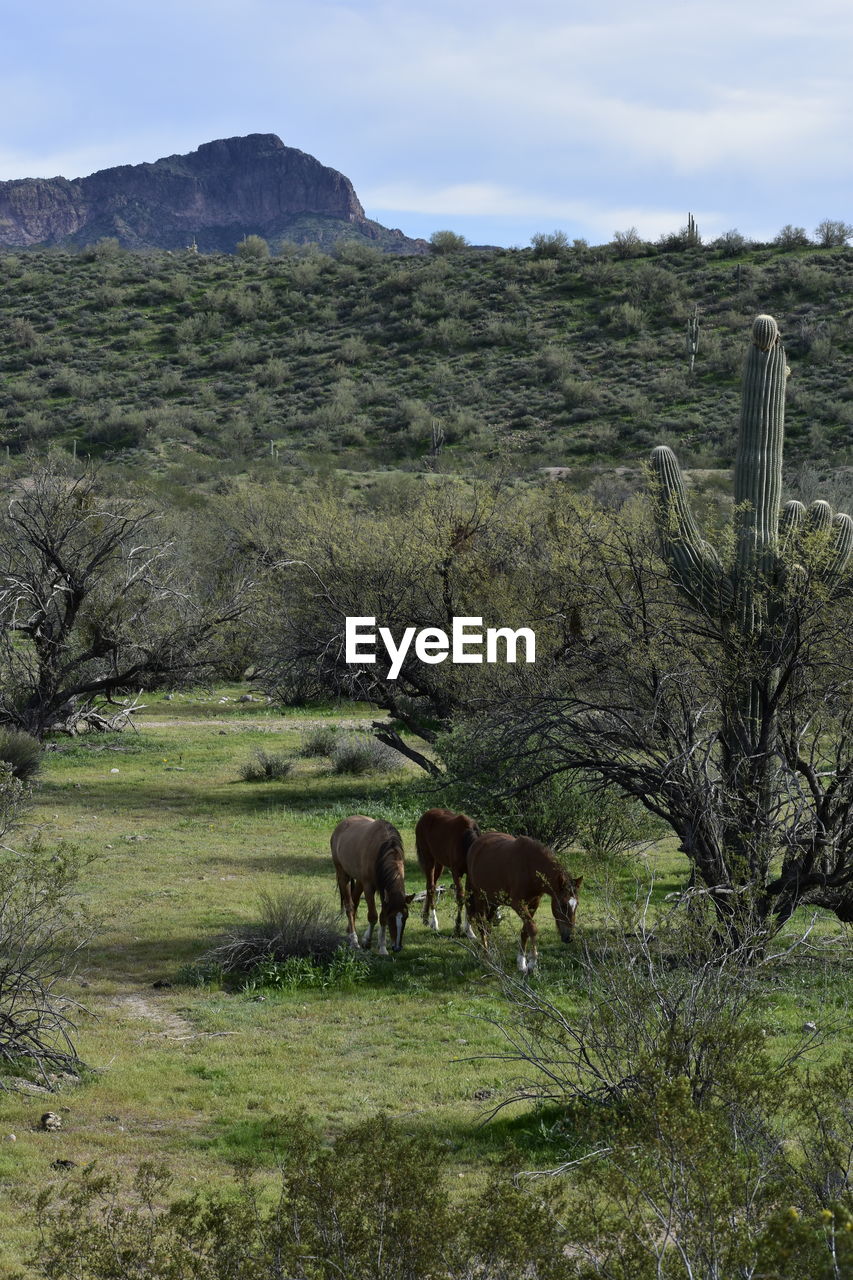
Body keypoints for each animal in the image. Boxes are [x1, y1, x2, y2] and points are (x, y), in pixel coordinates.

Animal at [327, 819, 409, 952]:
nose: (397, 947)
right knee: (349, 906)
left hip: (359, 881)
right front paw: (367, 941)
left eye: (406, 917)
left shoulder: (384, 890)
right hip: (343, 875)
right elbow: (373, 916)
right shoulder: (369, 887)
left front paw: (382, 947)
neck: (382, 849)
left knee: (355, 901)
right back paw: (354, 940)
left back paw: (350, 930)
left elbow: (382, 917)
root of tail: (341, 825)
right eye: (392, 918)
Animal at [412, 803, 479, 936]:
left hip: (439, 863)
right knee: (430, 888)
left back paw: (426, 918)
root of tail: (423, 817)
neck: (465, 842)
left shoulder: (470, 873)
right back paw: (434, 923)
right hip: (429, 860)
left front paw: (469, 931)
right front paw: (457, 927)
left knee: (432, 886)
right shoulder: (456, 872)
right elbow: (460, 897)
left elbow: (468, 896)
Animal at [466, 834, 578, 972]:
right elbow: (532, 928)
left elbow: (525, 931)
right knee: (482, 926)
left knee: (488, 927)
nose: (569, 937)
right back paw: (487, 958)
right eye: (562, 905)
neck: (530, 867)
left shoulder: (533, 904)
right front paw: (532, 962)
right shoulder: (518, 904)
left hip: (492, 901)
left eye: (576, 905)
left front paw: (522, 963)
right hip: (480, 897)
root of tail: (476, 843)